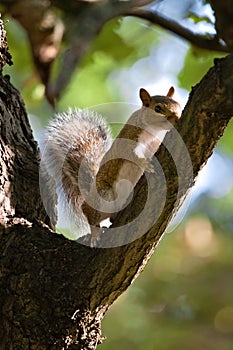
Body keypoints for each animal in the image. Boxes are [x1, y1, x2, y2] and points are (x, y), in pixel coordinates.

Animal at [42, 87, 181, 246]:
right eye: (157, 109)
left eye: (178, 105)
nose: (177, 118)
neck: (154, 132)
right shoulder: (129, 139)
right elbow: (131, 155)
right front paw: (144, 164)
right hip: (103, 197)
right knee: (90, 215)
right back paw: (95, 233)